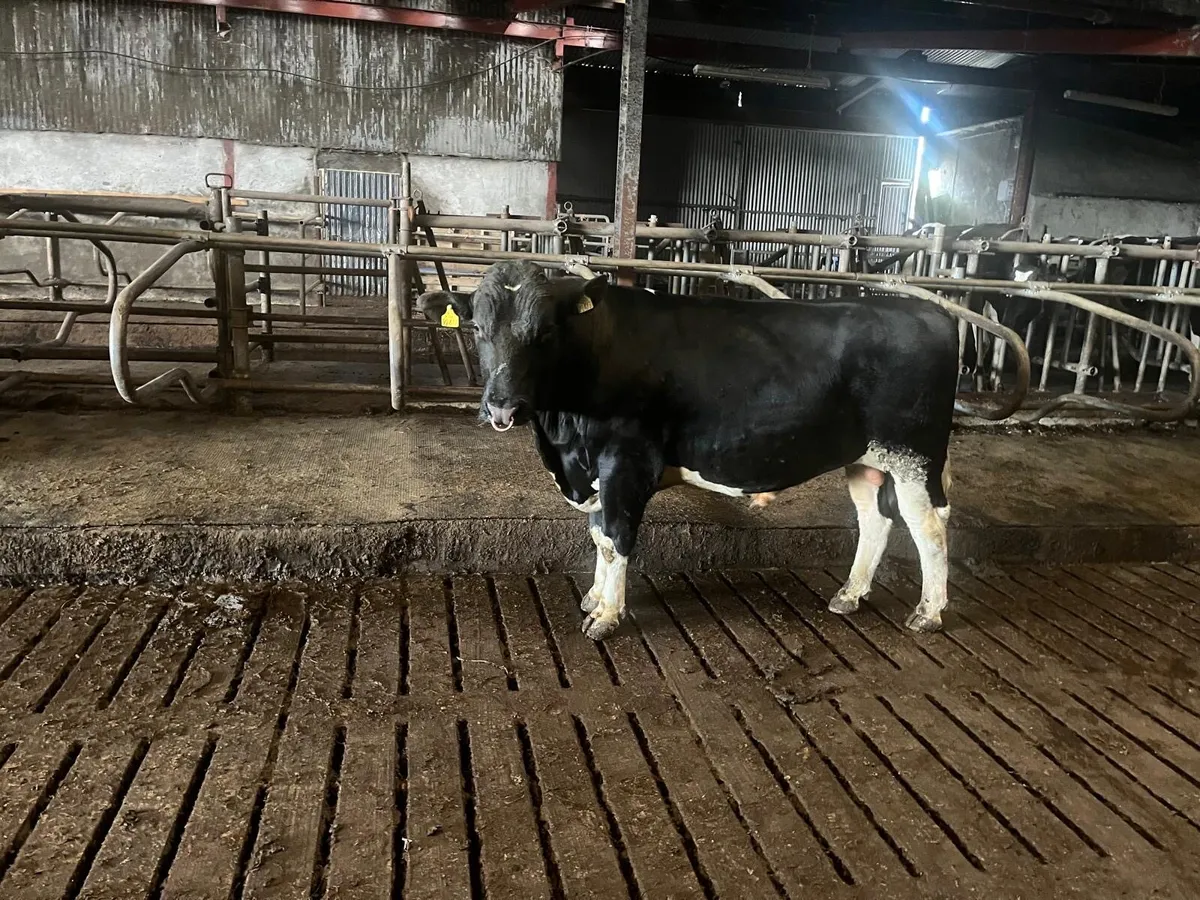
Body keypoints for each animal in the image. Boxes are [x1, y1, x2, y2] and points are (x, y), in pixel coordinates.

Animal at [419, 261, 960, 640]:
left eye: (545, 332)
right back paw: (850, 594)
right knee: (875, 520)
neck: (563, 439)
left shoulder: (626, 460)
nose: (502, 406)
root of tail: (931, 311)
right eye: (478, 328)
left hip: (914, 456)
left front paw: (607, 615)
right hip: (865, 458)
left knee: (930, 530)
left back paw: (928, 614)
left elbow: (617, 537)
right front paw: (593, 597)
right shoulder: (593, 468)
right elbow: (598, 536)